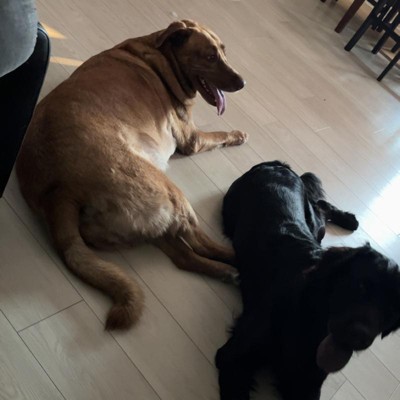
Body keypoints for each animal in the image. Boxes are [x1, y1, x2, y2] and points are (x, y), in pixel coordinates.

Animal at [16, 20, 248, 330]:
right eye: (210, 56)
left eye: (223, 51)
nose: (242, 83)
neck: (160, 55)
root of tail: (60, 191)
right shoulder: (192, 139)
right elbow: (220, 134)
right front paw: (238, 135)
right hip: (169, 193)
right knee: (198, 241)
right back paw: (238, 257)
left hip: (146, 219)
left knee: (183, 256)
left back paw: (225, 271)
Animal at [216, 161, 400, 400]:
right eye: (360, 285)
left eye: (391, 310)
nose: (359, 335)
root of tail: (275, 165)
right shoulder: (232, 357)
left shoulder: (307, 382)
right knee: (320, 204)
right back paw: (350, 219)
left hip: (314, 226)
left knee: (321, 205)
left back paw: (348, 219)